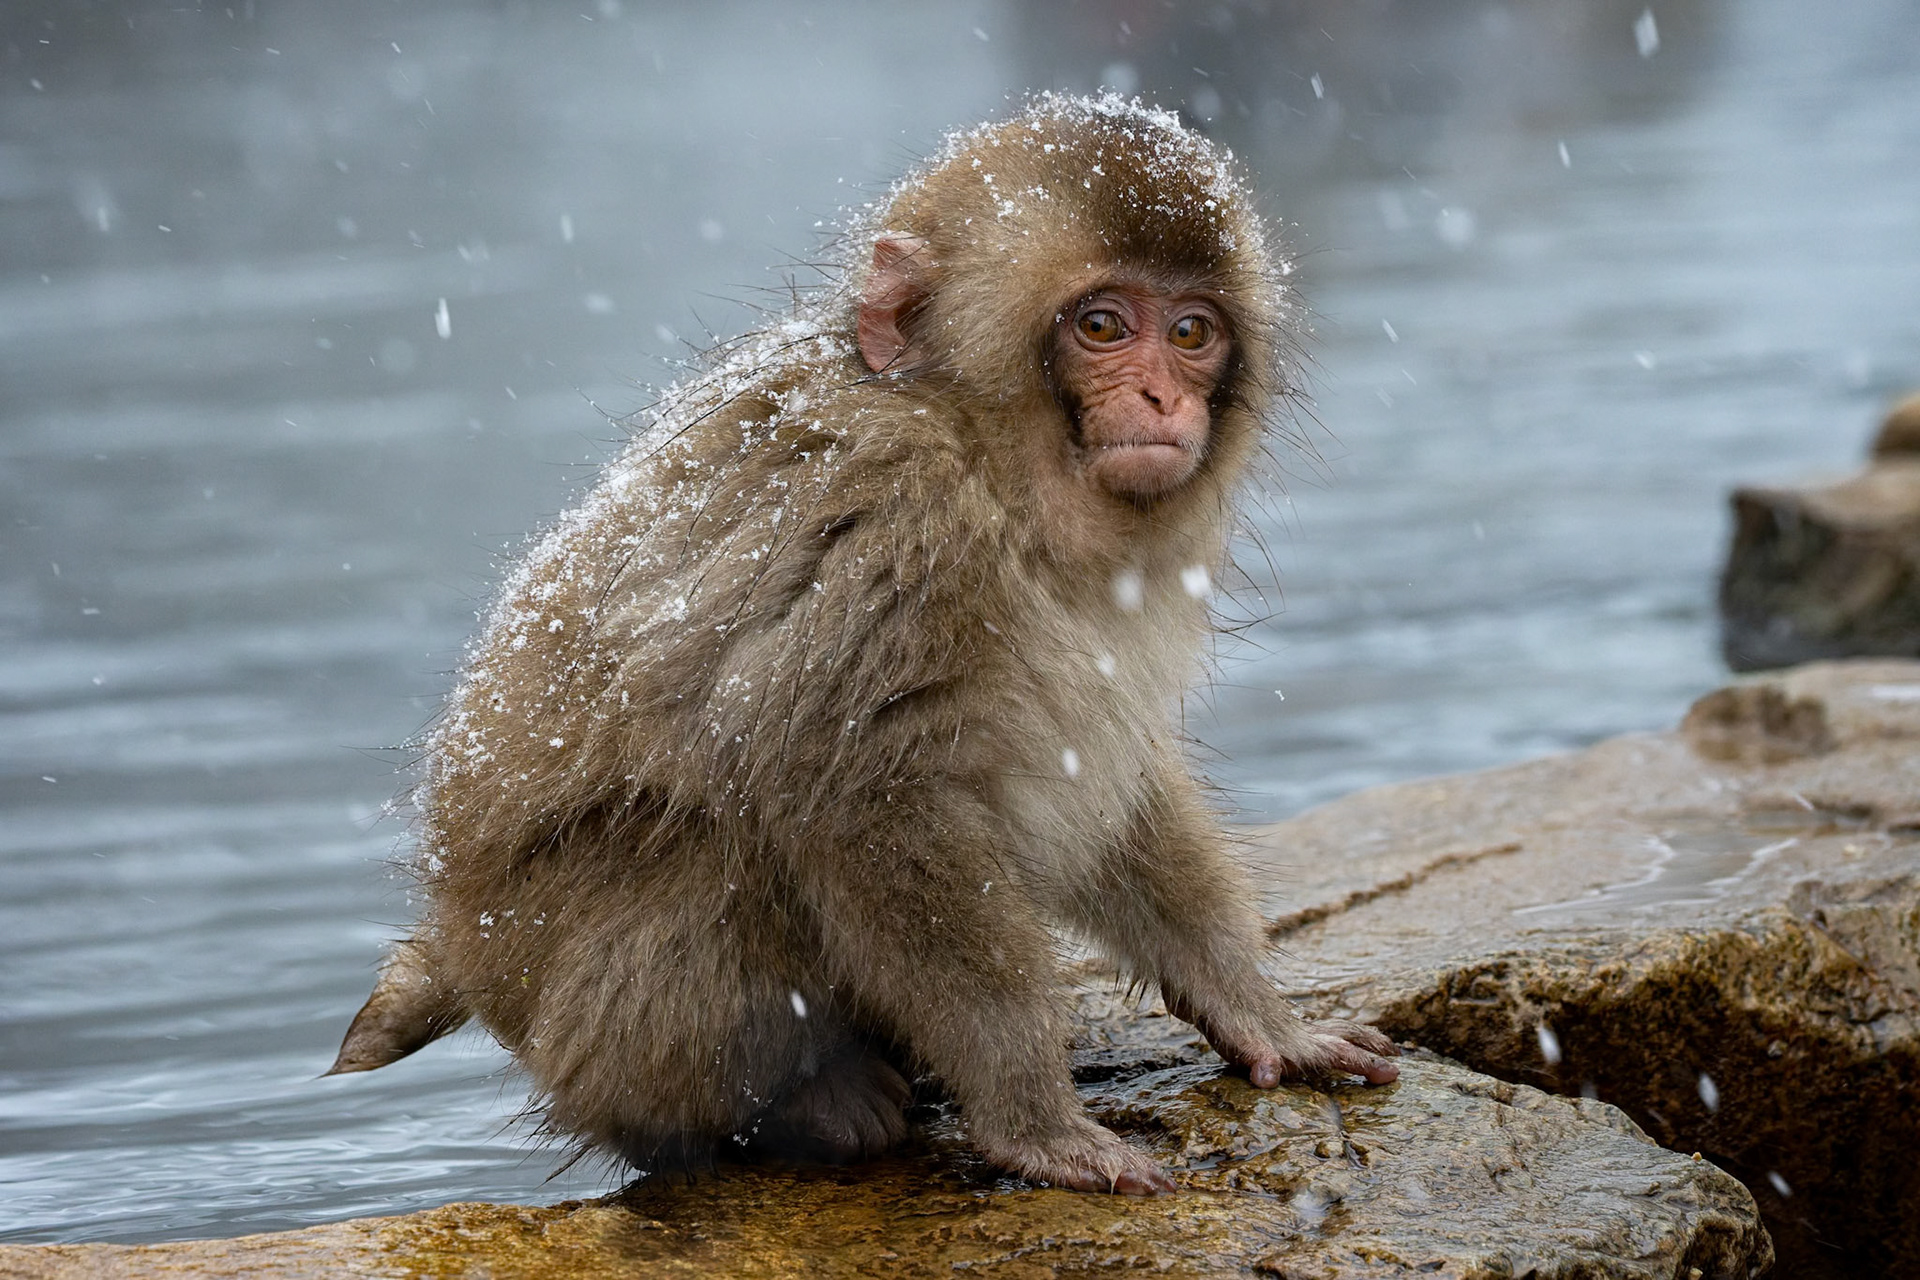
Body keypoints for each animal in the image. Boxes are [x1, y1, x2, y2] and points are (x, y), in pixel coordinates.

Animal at [329, 93, 1398, 1196]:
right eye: (1102, 325)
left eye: (1191, 332)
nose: (1161, 400)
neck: (988, 461)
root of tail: (463, 941)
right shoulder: (894, 524)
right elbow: (857, 799)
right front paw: (1033, 1117)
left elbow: (1109, 767)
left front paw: (1256, 1011)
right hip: (576, 993)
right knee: (718, 844)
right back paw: (793, 1110)